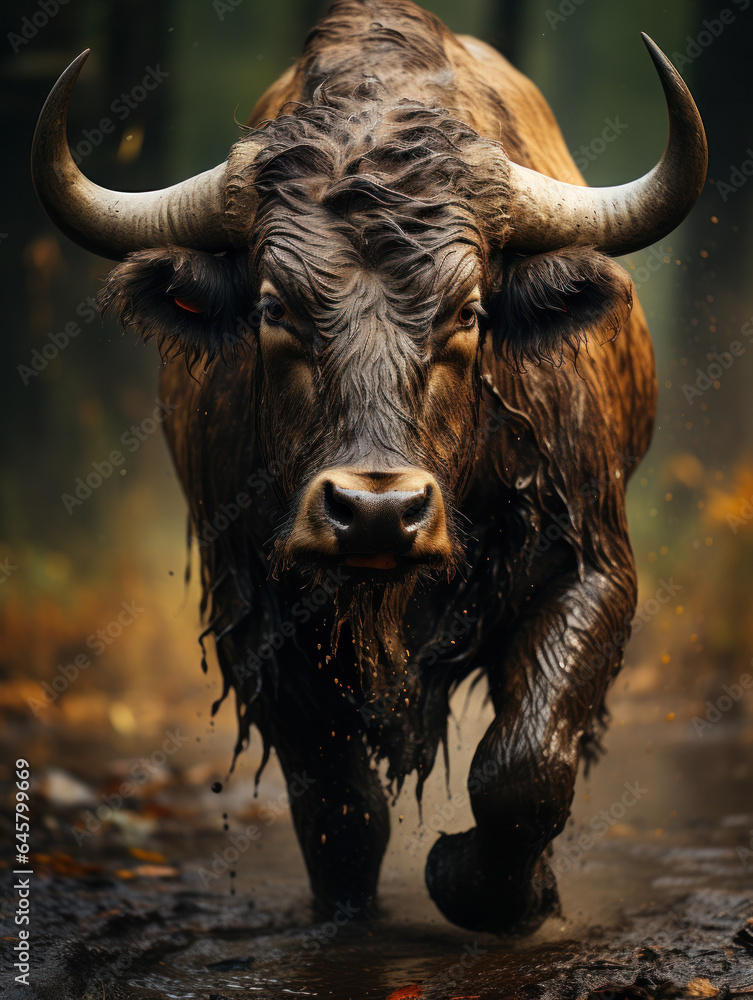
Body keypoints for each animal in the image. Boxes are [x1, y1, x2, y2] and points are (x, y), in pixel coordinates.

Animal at [32, 0, 707, 934]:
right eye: (275, 307)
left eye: (467, 312)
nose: (378, 511)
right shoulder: (253, 608)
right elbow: (338, 800)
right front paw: (347, 913)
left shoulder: (589, 565)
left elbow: (524, 765)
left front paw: (494, 888)